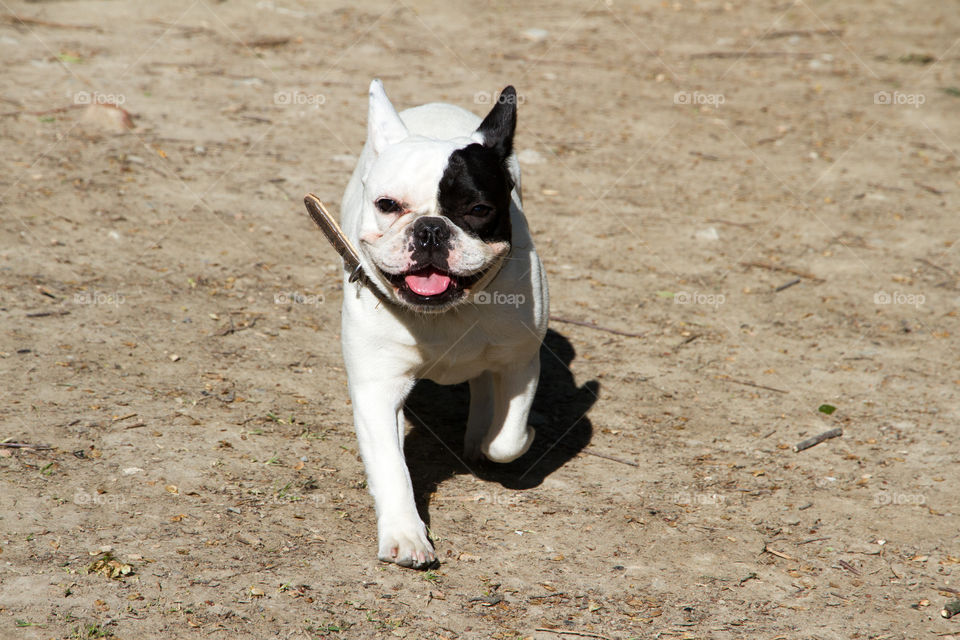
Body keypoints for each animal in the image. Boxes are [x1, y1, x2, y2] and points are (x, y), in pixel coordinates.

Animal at [338, 79, 548, 564]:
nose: (431, 229)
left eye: (479, 209)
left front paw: (502, 437)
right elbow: (391, 466)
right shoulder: (377, 386)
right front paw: (405, 533)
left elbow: (507, 440)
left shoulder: (519, 364)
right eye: (387, 205)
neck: (446, 311)